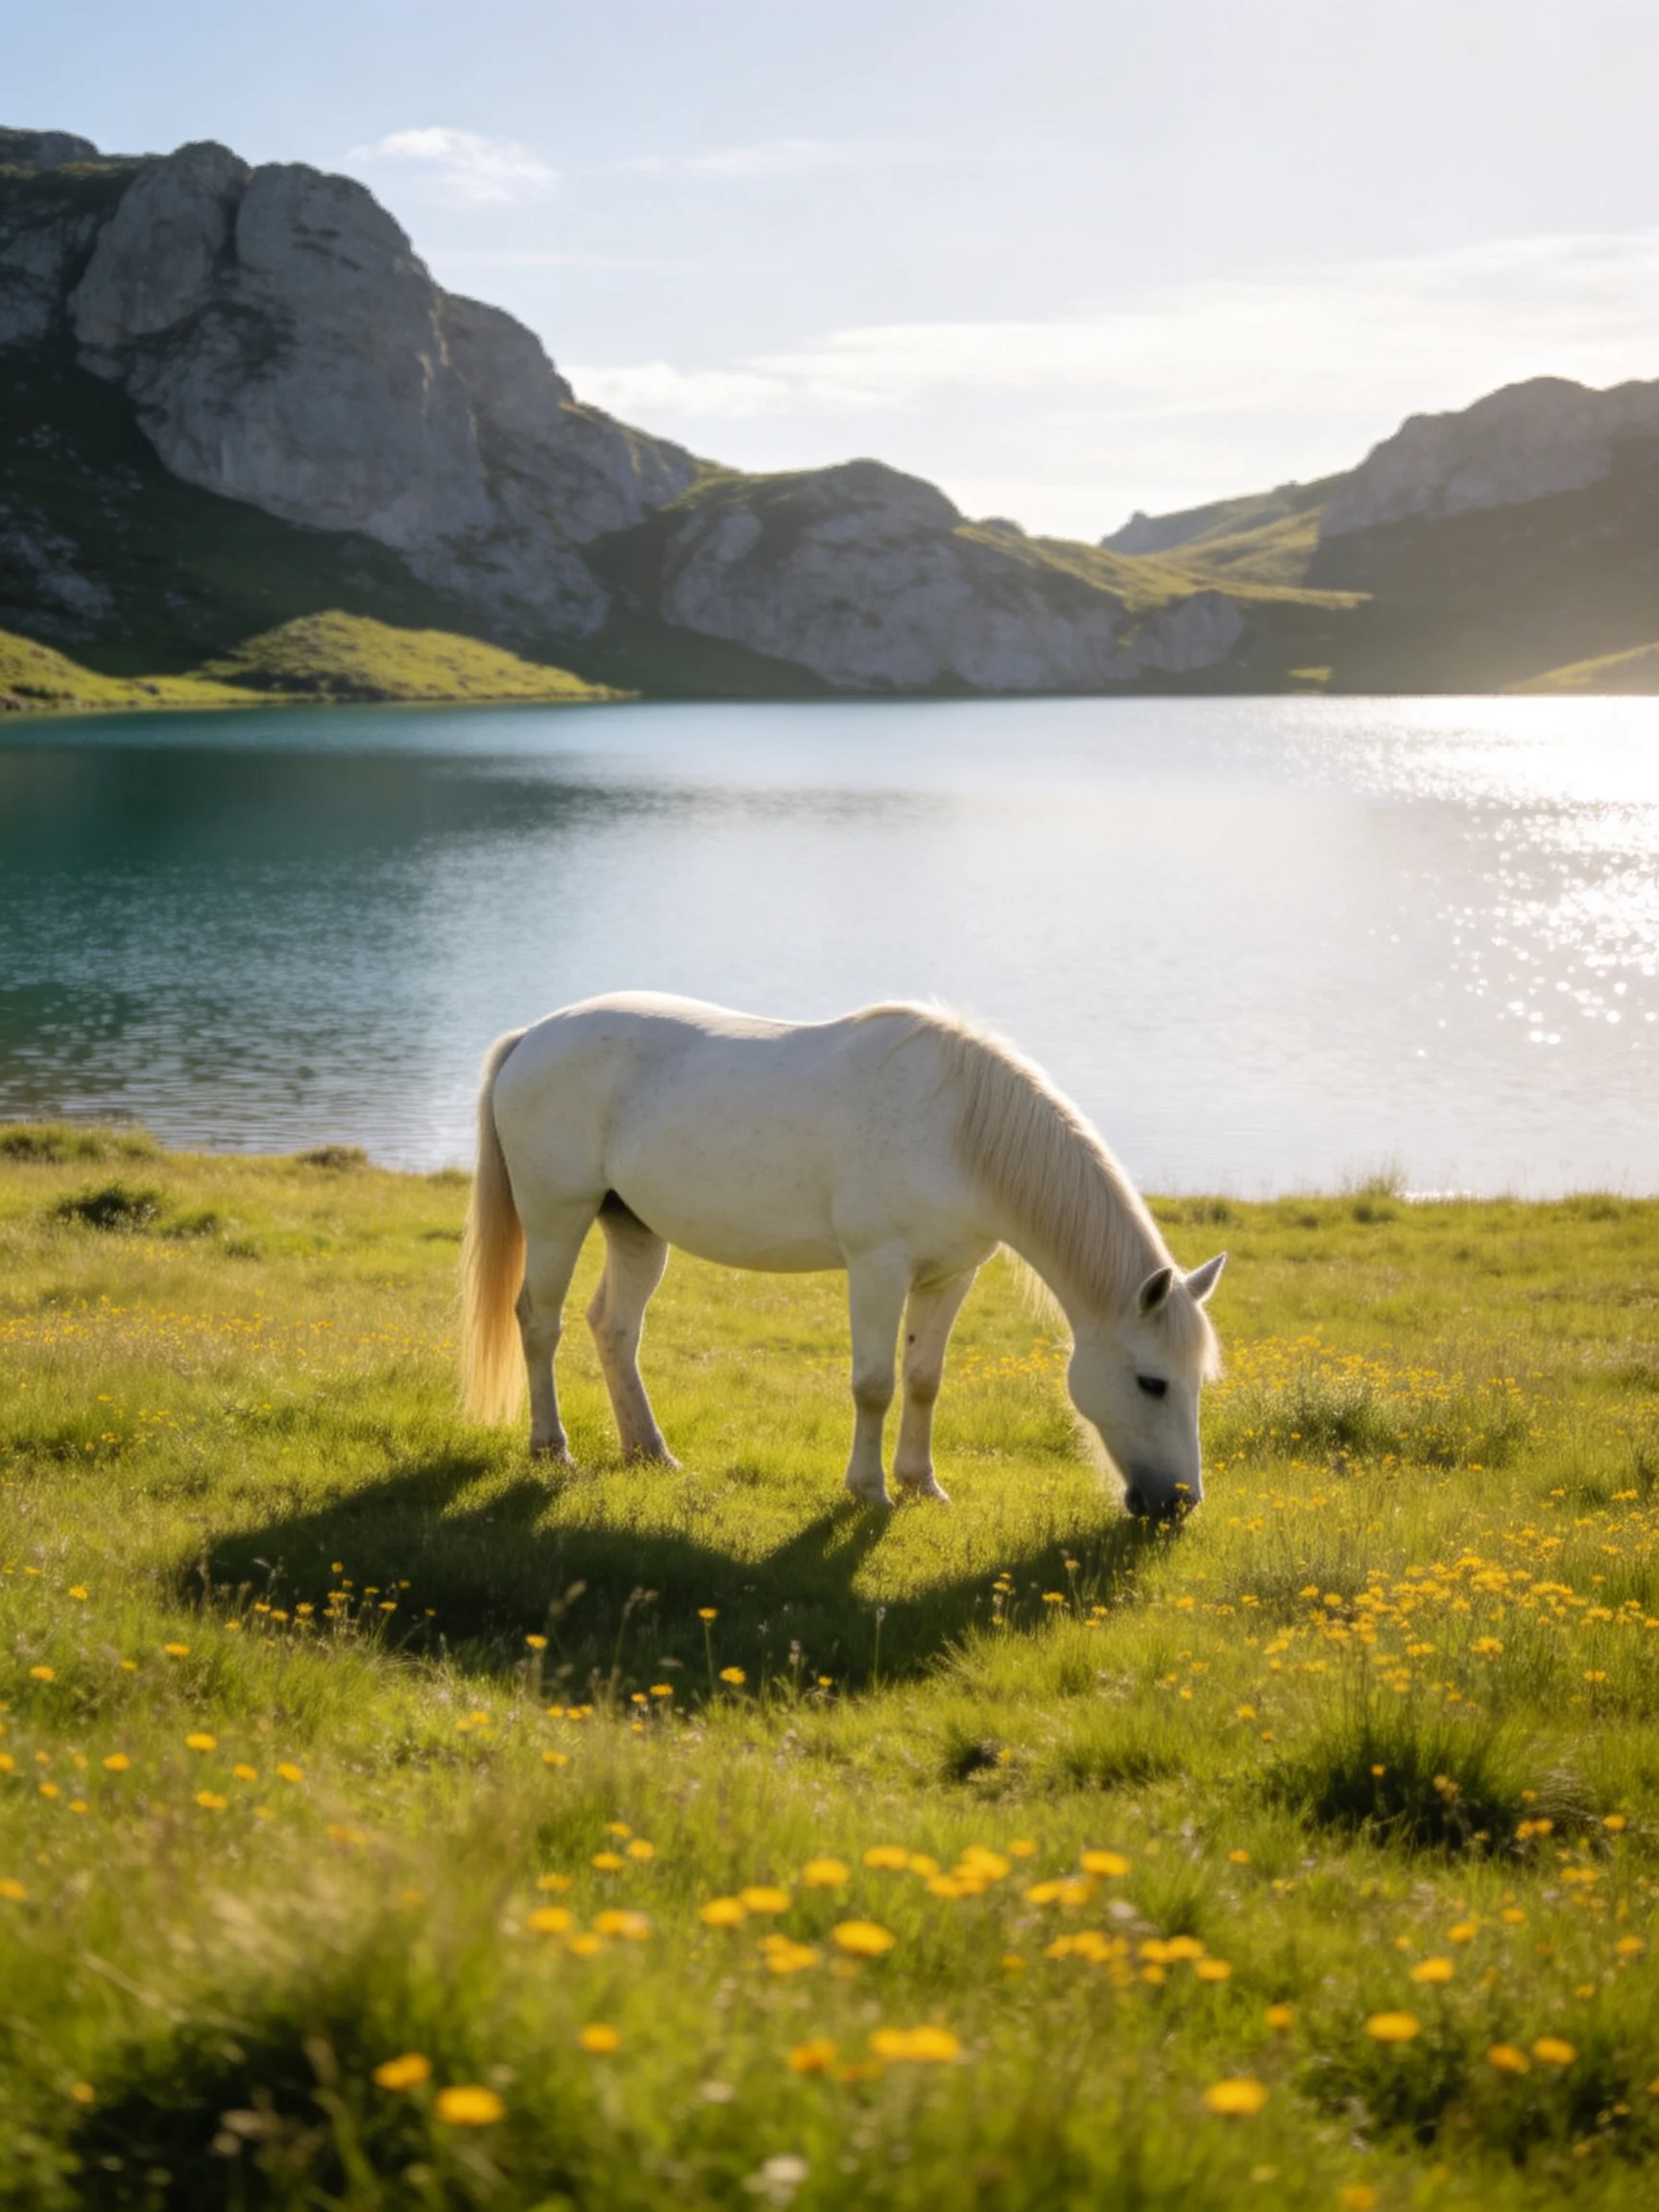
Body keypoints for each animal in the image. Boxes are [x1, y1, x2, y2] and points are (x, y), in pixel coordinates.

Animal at [460, 993, 1225, 1518]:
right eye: (1152, 1382)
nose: (1179, 1504)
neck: (957, 1131)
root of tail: (532, 1036)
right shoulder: (878, 1270)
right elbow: (874, 1385)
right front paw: (869, 1490)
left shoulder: (951, 1277)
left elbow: (923, 1379)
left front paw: (922, 1484)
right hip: (556, 1216)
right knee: (540, 1321)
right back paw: (551, 1446)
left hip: (636, 1229)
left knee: (615, 1330)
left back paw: (649, 1450)